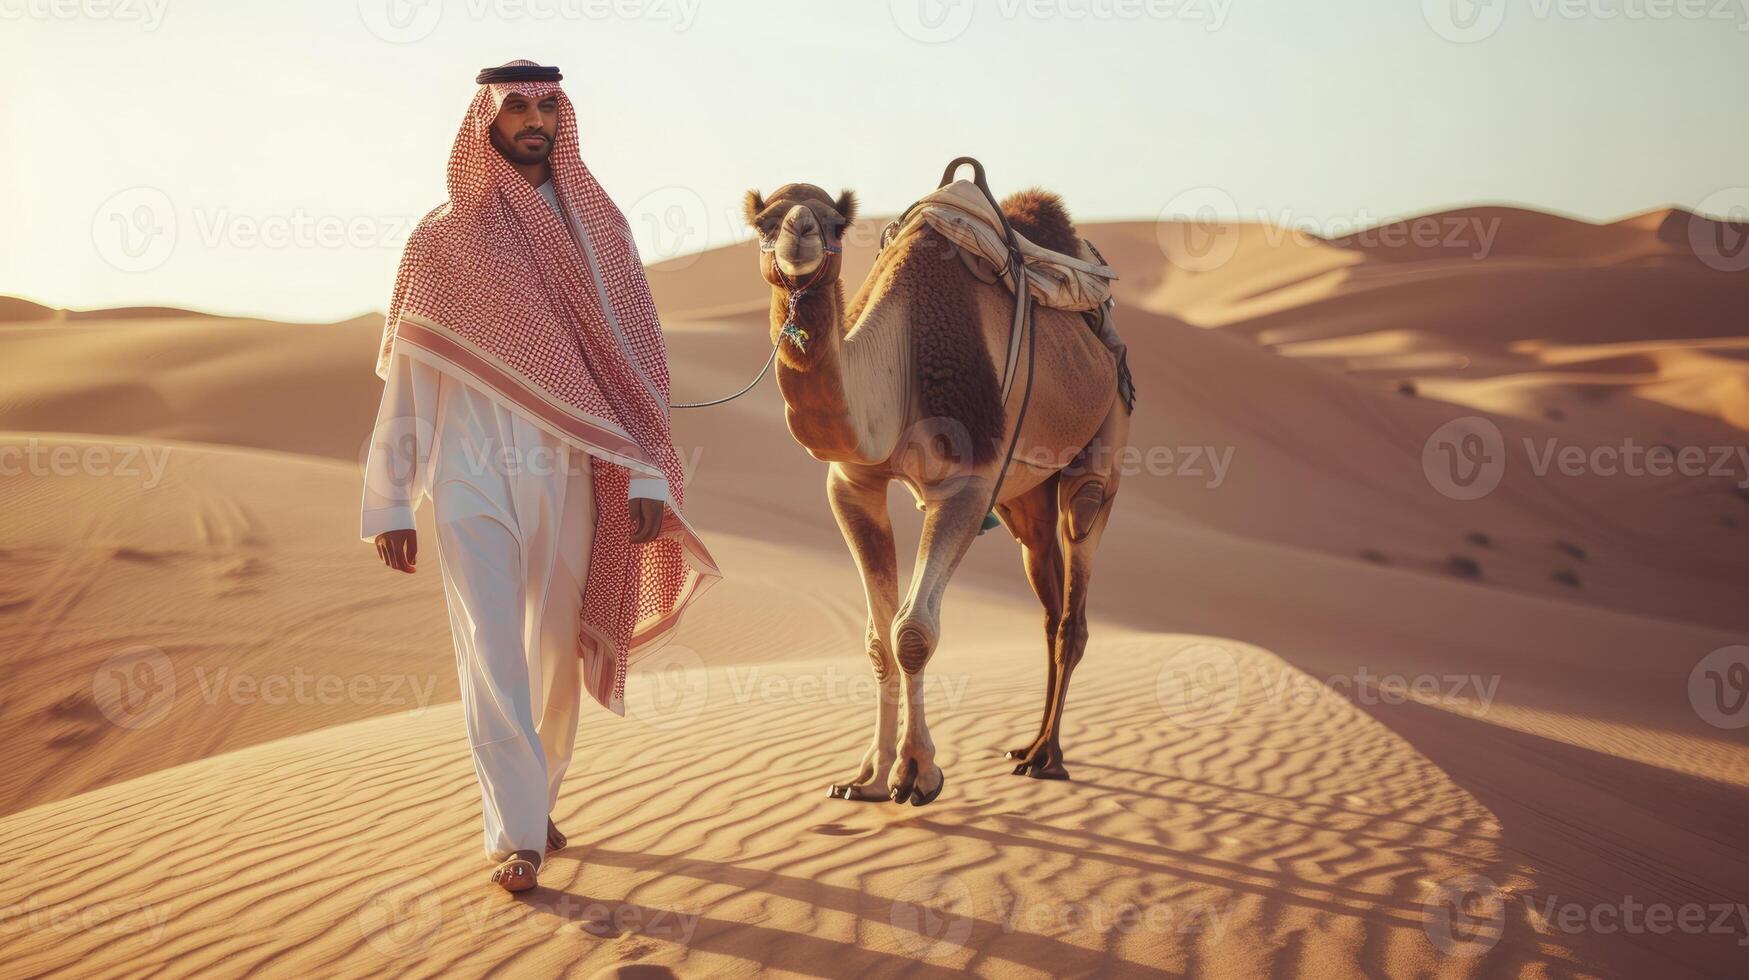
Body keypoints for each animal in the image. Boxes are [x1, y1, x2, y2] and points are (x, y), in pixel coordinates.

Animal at [741, 175, 1133, 805]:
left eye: (835, 224)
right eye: (764, 223)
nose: (799, 233)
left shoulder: (967, 482)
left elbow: (912, 632)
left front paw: (917, 775)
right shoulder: (852, 483)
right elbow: (878, 641)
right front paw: (868, 778)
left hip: (1105, 432)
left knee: (1077, 574)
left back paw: (1049, 758)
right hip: (1022, 497)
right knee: (1047, 598)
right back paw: (1028, 746)